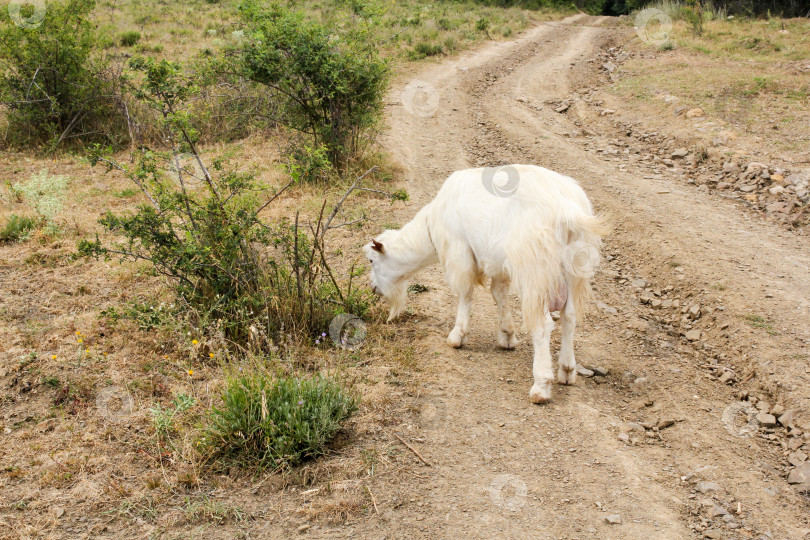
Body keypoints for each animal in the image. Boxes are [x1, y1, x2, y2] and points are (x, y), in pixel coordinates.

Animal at [364, 167, 608, 402]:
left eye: (371, 260)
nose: (373, 288)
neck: (430, 227)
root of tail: (567, 210)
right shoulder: (500, 264)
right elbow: (498, 293)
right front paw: (507, 335)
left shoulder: (459, 251)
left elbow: (465, 293)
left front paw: (458, 336)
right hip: (575, 268)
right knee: (570, 316)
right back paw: (567, 370)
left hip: (535, 270)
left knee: (543, 324)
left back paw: (541, 386)